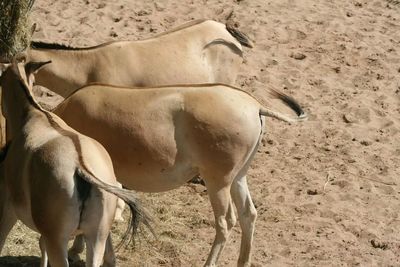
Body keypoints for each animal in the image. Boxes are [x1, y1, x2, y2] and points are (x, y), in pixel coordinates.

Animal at [50, 74, 306, 266]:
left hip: (218, 180)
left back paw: (208, 264)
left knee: (226, 222)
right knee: (248, 214)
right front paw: (76, 250)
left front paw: (76, 251)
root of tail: (255, 106)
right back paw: (243, 262)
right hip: (238, 177)